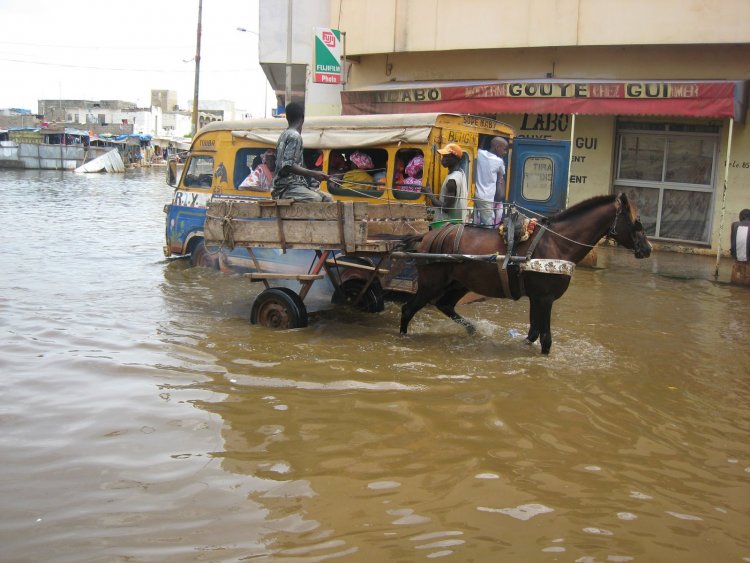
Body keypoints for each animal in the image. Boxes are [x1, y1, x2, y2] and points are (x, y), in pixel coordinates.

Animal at [400, 192, 652, 354]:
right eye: (637, 222)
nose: (648, 248)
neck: (557, 244)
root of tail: (428, 235)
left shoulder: (536, 298)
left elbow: (532, 333)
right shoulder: (545, 298)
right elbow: (546, 339)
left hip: (458, 283)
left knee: (444, 305)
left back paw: (472, 330)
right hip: (430, 283)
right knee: (408, 309)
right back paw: (403, 337)